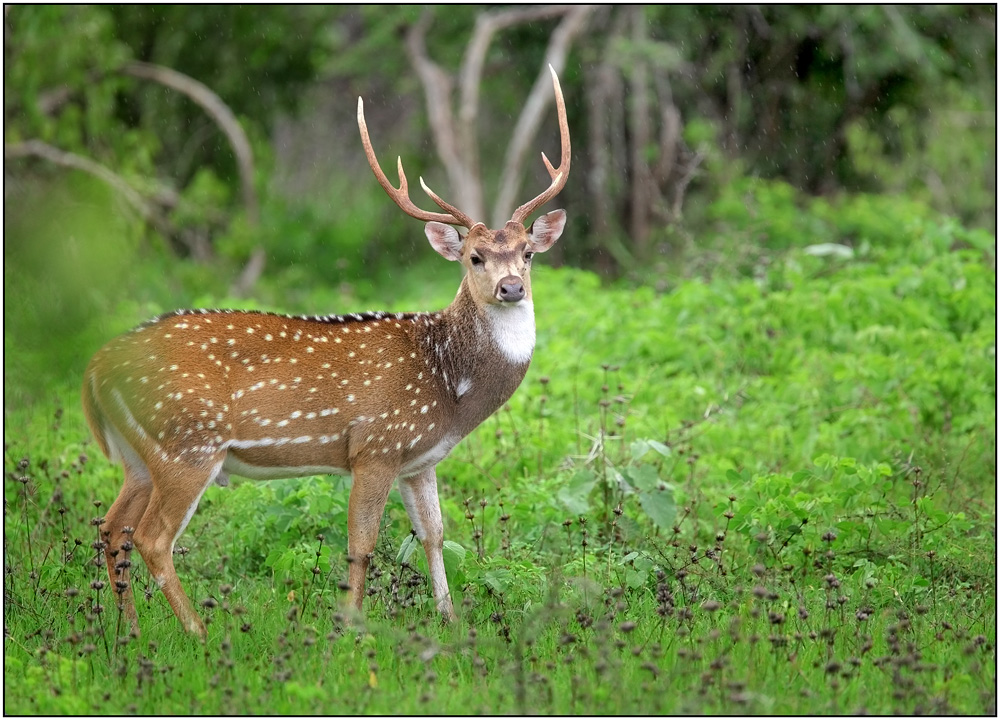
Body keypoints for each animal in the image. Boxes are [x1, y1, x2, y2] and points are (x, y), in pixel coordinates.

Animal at [81, 67, 572, 640]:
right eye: (475, 257)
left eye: (529, 253)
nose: (511, 288)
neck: (448, 386)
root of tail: (95, 368)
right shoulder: (375, 444)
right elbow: (362, 544)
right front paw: (352, 628)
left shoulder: (419, 460)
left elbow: (434, 535)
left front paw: (450, 619)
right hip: (188, 443)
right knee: (153, 537)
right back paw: (199, 633)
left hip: (140, 455)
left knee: (112, 526)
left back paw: (128, 631)